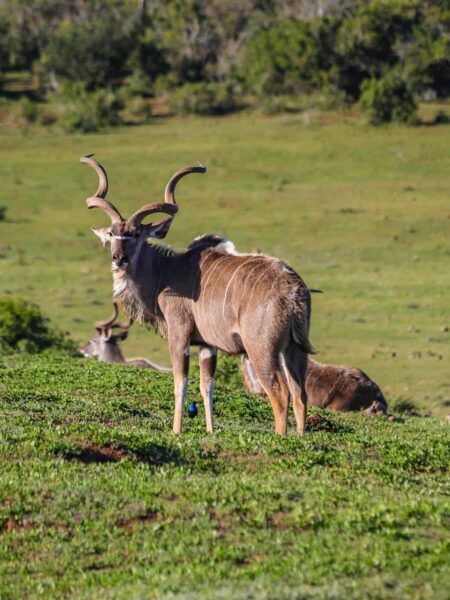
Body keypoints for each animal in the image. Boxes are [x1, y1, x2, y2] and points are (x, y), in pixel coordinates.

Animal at [79, 157, 314, 434]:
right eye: (112, 234)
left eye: (135, 234)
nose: (119, 258)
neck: (166, 273)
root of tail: (294, 289)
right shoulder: (207, 345)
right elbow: (206, 387)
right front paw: (211, 431)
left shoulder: (179, 335)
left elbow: (180, 383)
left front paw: (176, 431)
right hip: (294, 350)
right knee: (300, 395)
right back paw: (299, 438)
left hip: (261, 349)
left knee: (280, 393)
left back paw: (281, 438)